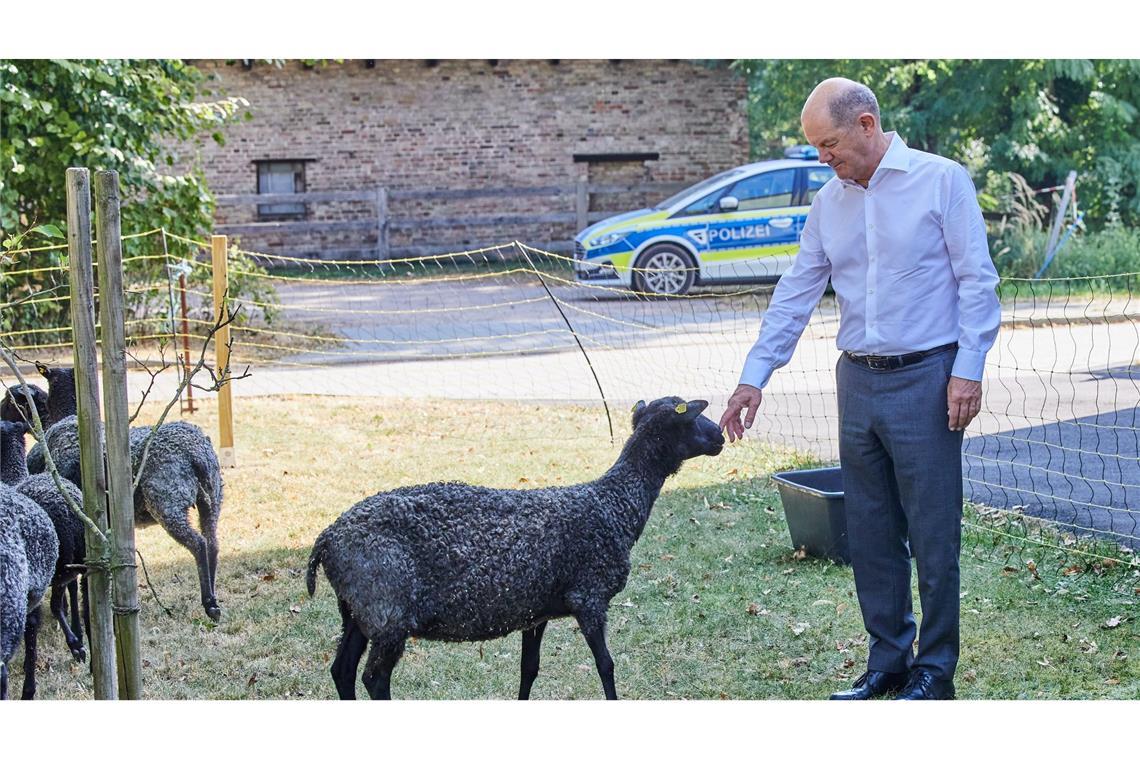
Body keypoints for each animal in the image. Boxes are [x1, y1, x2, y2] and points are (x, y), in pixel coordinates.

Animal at [307, 398, 725, 701]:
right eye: (691, 418)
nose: (721, 435)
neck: (614, 505)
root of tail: (327, 538)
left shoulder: (535, 611)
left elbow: (530, 669)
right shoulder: (589, 598)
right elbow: (605, 665)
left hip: (357, 611)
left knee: (342, 670)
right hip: (387, 611)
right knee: (374, 678)